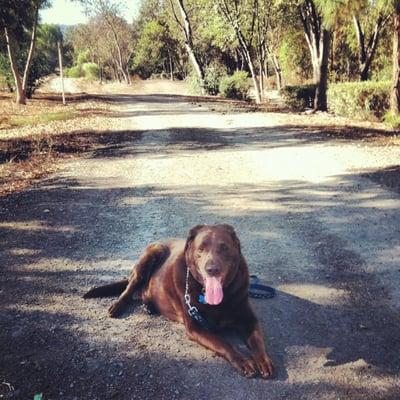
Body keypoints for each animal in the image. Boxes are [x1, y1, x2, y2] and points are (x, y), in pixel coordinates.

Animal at [83, 225, 274, 378]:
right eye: (201, 249)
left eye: (224, 248)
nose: (212, 269)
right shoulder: (195, 327)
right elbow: (224, 344)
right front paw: (244, 361)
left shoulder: (249, 320)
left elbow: (258, 340)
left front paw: (263, 361)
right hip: (150, 254)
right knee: (130, 288)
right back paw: (118, 306)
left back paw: (149, 306)